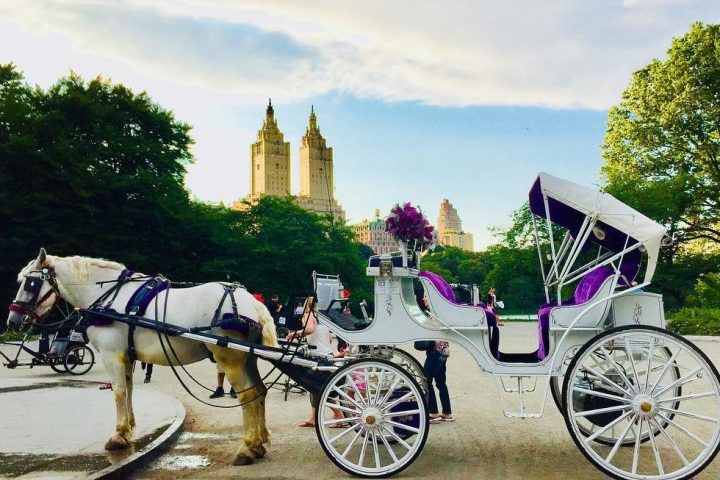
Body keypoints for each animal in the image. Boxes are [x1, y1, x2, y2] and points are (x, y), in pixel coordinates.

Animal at [7, 249, 280, 466]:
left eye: (29, 283)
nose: (12, 321)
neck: (108, 296)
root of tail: (251, 302)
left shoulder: (111, 355)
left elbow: (118, 392)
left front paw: (117, 436)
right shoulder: (126, 356)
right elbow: (129, 390)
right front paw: (128, 430)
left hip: (230, 359)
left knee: (247, 395)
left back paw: (247, 447)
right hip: (248, 359)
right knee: (259, 391)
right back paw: (258, 444)